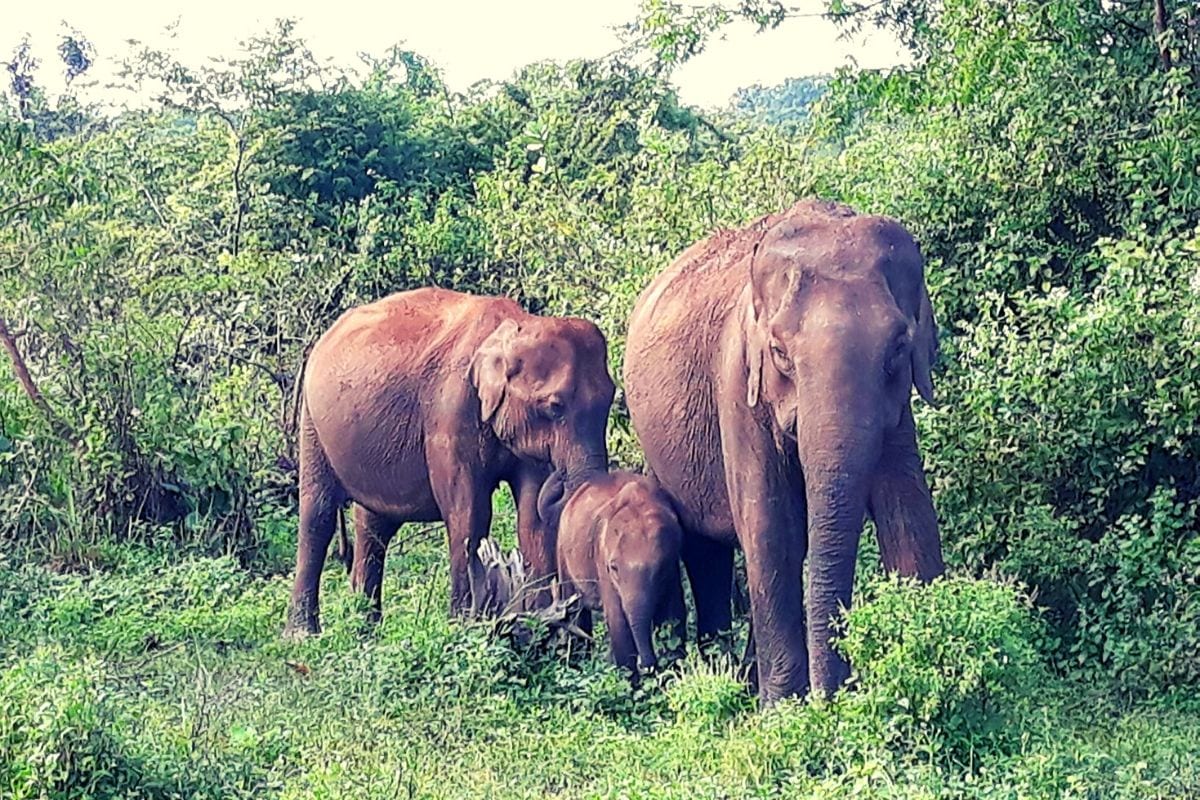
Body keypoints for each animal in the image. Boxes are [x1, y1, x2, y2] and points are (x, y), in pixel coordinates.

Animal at [284, 287, 614, 638]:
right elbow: (468, 512)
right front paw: (464, 625)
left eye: (610, 398)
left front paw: (539, 625)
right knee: (318, 515)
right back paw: (302, 635)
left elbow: (531, 517)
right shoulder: (451, 410)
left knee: (373, 525)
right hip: (311, 422)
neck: (514, 328)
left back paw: (366, 629)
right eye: (554, 406)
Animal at [544, 472, 686, 671]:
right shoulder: (601, 559)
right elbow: (618, 622)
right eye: (613, 568)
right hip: (562, 550)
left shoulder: (673, 569)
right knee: (575, 613)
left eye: (661, 568)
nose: (647, 666)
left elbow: (673, 614)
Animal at [624, 199, 940, 700]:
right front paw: (785, 708)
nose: (834, 695)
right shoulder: (737, 383)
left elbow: (908, 512)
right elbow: (773, 527)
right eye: (779, 352)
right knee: (703, 546)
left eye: (897, 348)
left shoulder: (898, 405)